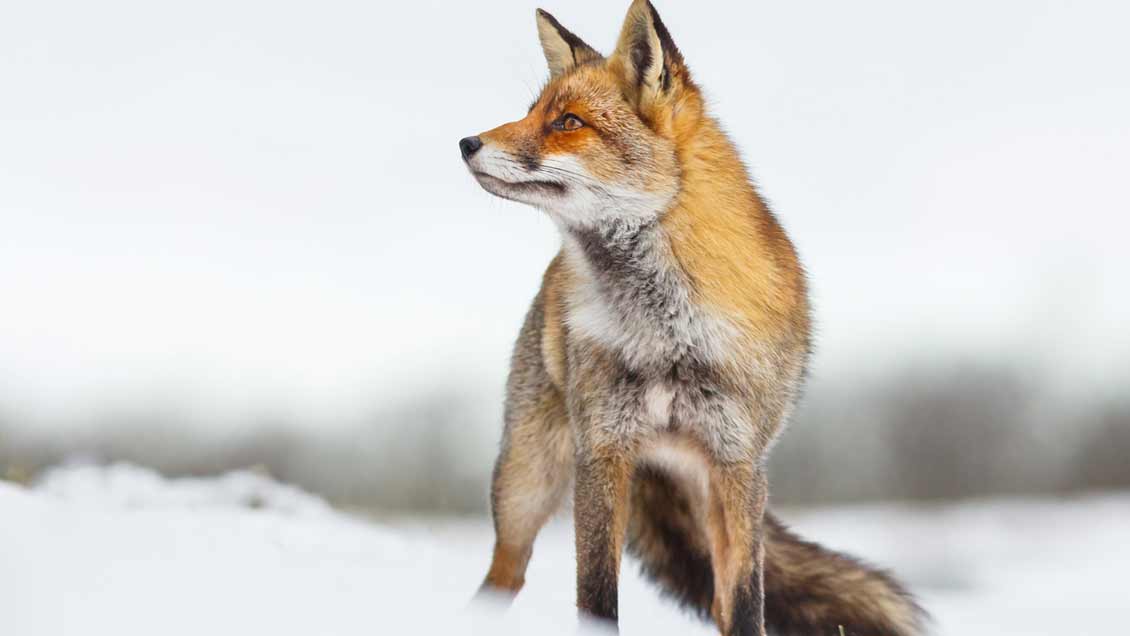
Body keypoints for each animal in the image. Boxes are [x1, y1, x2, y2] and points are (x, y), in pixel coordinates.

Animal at [458, 2, 926, 632]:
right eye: (533, 113)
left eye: (567, 122)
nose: (466, 142)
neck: (668, 333)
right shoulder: (603, 450)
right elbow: (597, 596)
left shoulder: (737, 462)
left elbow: (747, 602)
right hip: (524, 486)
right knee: (502, 575)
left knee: (725, 598)